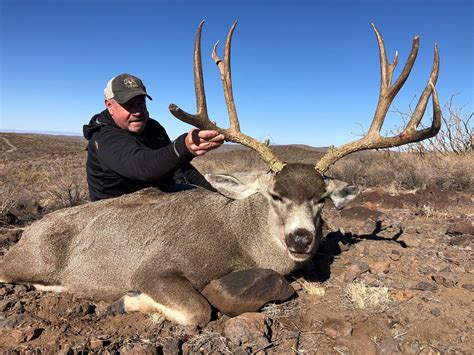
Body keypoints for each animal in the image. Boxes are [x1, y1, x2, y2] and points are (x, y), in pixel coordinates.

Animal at [0, 20, 440, 326]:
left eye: (321, 199)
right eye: (275, 195)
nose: (300, 238)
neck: (238, 238)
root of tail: (27, 231)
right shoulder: (154, 266)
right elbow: (198, 310)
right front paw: (128, 300)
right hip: (28, 260)